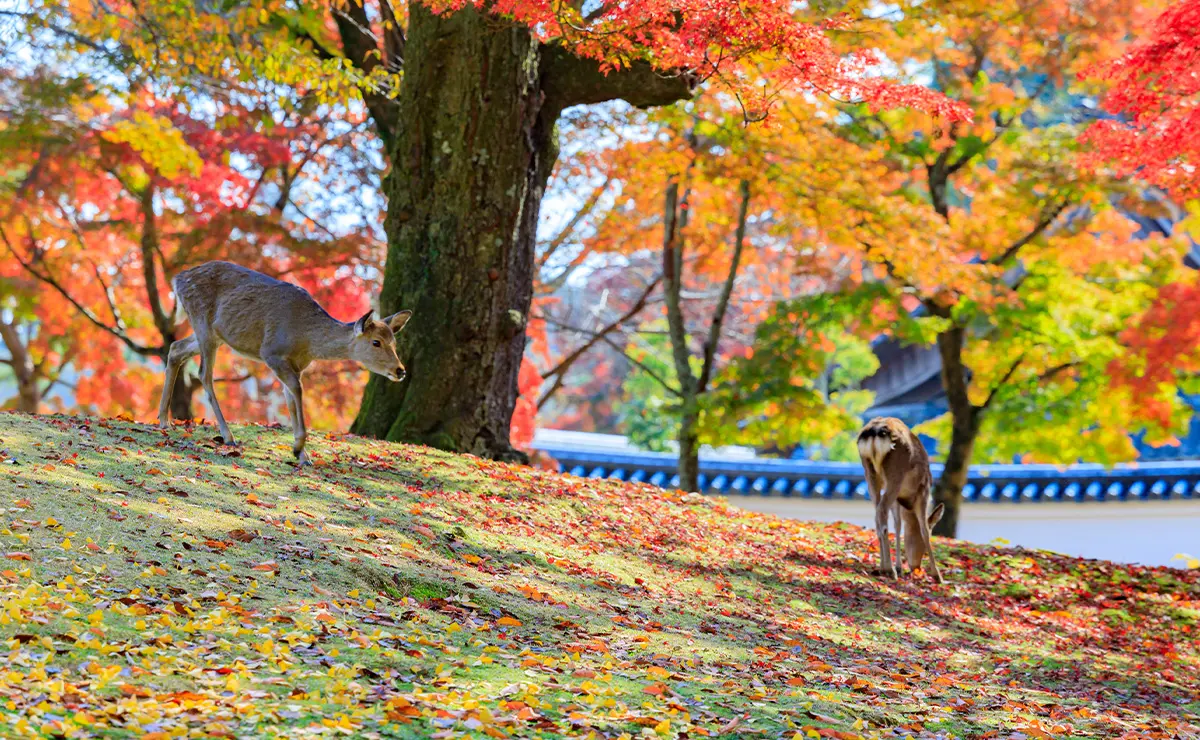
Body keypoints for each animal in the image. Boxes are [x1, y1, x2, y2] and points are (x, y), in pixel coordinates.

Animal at [159, 262, 412, 465]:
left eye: (394, 341)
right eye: (376, 342)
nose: (400, 370)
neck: (306, 339)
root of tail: (177, 279)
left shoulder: (297, 364)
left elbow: (290, 398)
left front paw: (303, 454)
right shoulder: (271, 352)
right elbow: (297, 390)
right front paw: (298, 448)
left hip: (213, 333)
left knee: (176, 349)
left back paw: (164, 420)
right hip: (203, 323)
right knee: (204, 374)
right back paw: (228, 436)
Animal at [854, 414, 945, 582]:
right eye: (922, 546)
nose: (916, 567)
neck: (907, 501)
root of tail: (876, 431)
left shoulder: (898, 499)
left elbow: (898, 525)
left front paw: (899, 567)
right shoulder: (923, 490)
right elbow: (924, 528)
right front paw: (937, 575)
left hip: (870, 473)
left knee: (877, 514)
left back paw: (883, 568)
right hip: (895, 474)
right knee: (882, 512)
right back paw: (888, 570)